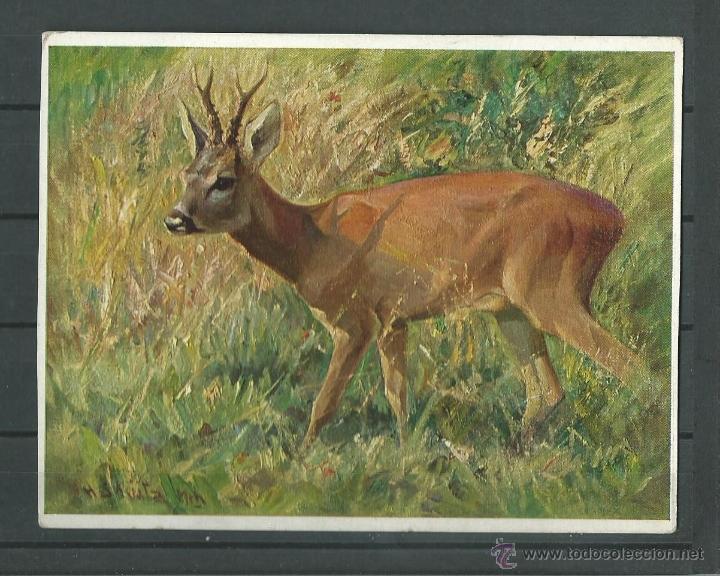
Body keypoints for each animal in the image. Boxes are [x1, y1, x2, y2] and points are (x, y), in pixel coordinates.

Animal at [164, 66, 642, 448]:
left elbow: (325, 404)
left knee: (631, 366)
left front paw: (298, 461)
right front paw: (406, 456)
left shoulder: (356, 318)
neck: (311, 242)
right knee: (547, 392)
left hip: (551, 291)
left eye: (223, 180)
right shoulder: (393, 319)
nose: (174, 219)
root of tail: (615, 218)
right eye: (187, 173)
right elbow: (398, 399)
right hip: (510, 309)